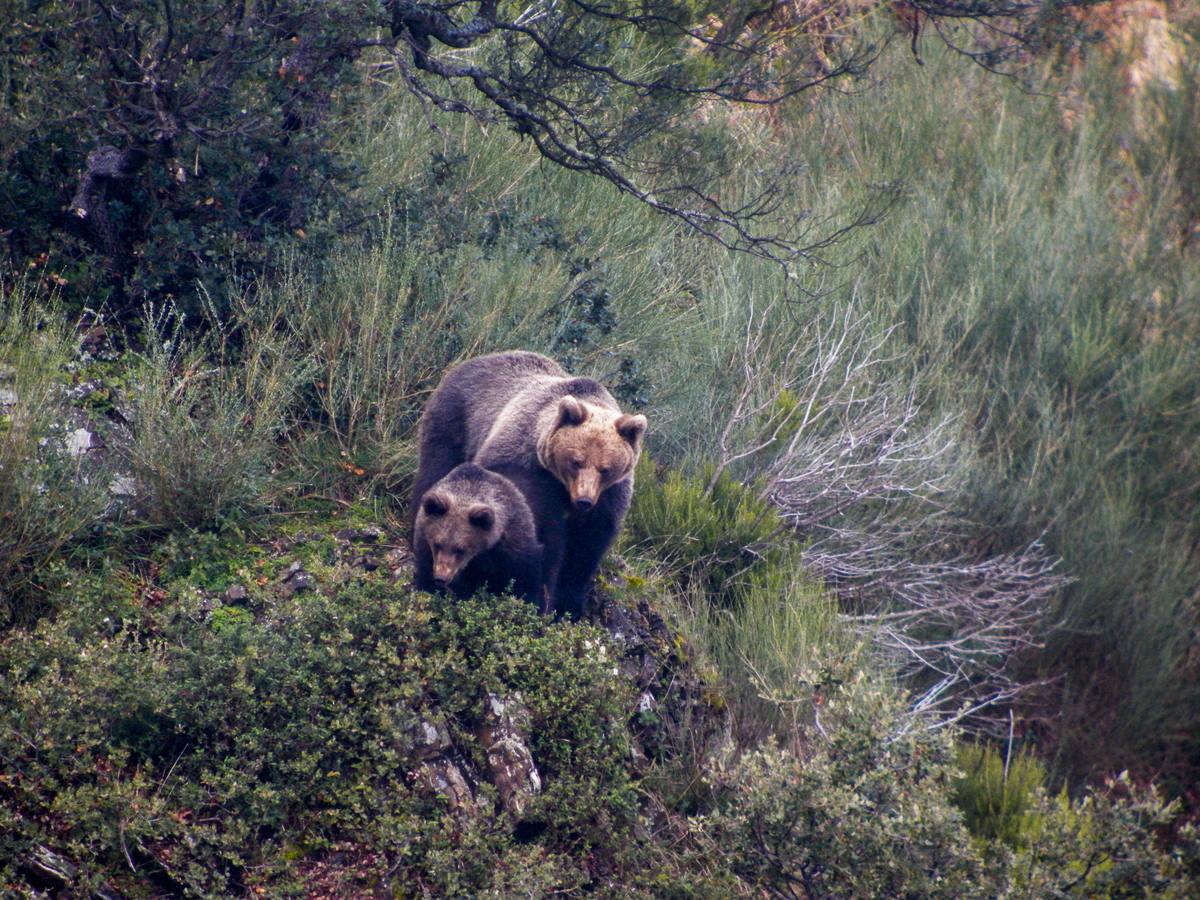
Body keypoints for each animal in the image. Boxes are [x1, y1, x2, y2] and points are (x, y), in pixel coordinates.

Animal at [412, 465, 544, 607]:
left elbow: (525, 584)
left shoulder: (514, 548)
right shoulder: (425, 548)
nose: (441, 578)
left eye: (460, 549)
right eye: (437, 544)